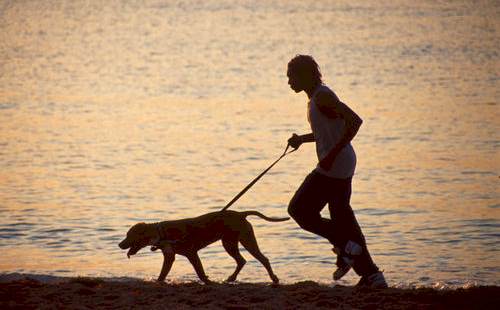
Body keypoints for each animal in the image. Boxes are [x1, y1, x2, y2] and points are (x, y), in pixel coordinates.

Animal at [118, 209, 290, 284]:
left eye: (128, 235)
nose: (119, 244)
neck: (161, 233)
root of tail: (241, 214)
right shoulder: (169, 256)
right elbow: (163, 273)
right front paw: (159, 281)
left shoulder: (192, 253)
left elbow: (200, 271)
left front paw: (207, 281)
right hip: (230, 242)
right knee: (242, 261)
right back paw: (231, 278)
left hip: (245, 241)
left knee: (263, 259)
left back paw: (274, 278)